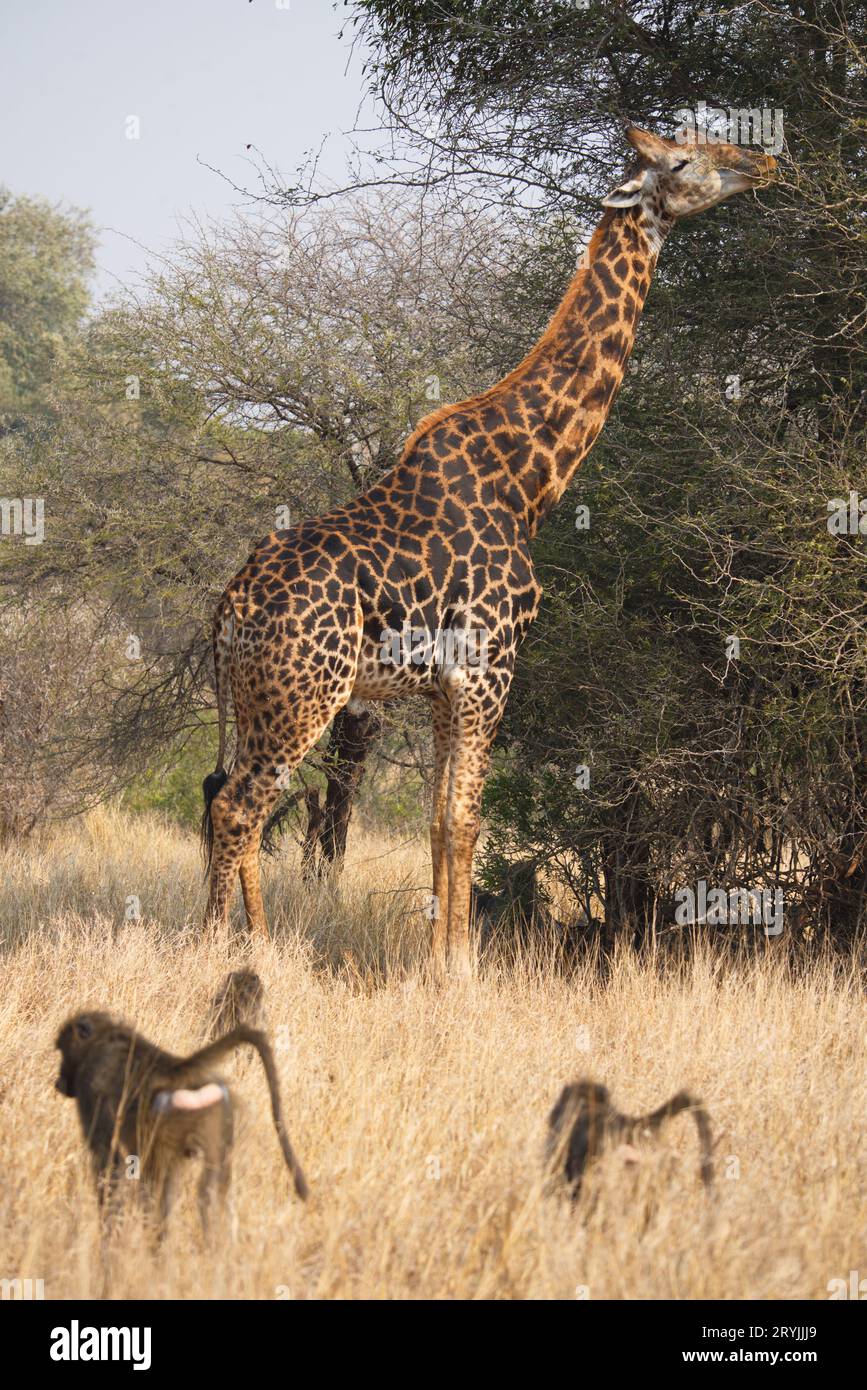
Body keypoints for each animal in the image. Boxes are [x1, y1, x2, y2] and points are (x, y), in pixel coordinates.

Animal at [202, 126, 775, 973]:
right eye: (681, 160)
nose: (760, 161)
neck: (531, 477)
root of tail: (229, 604)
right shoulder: (488, 669)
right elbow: (466, 819)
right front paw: (461, 969)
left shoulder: (445, 688)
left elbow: (441, 819)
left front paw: (437, 960)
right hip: (304, 694)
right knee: (241, 806)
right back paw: (212, 950)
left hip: (255, 698)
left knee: (227, 797)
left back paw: (261, 945)